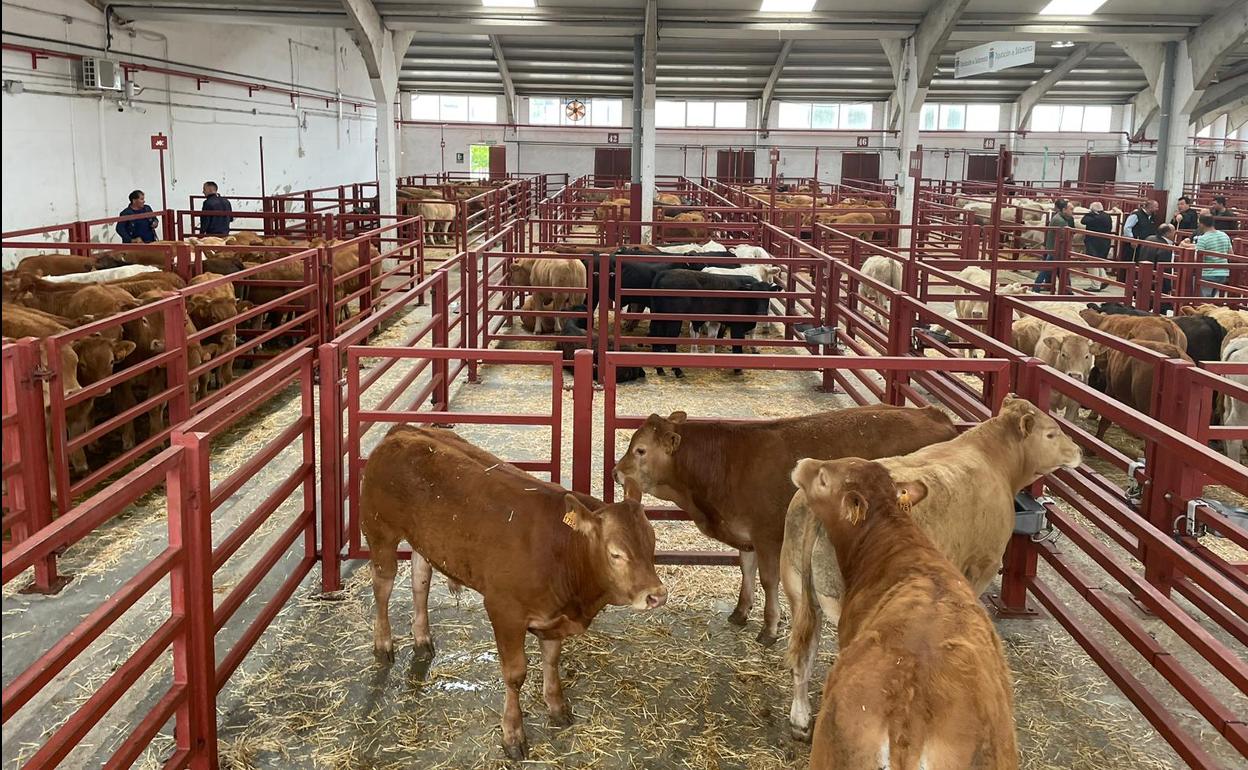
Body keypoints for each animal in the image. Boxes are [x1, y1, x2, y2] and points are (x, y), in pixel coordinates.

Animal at [359, 426, 663, 758]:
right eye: (616, 553)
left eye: (652, 542)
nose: (656, 595)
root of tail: (405, 430)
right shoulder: (504, 610)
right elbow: (515, 675)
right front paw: (513, 735)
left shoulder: (553, 617)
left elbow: (552, 660)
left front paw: (557, 707)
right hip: (380, 532)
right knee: (383, 587)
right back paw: (383, 644)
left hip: (423, 540)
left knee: (420, 580)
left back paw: (423, 638)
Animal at [611, 404, 953, 643]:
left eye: (640, 450)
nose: (615, 472)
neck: (723, 465)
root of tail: (934, 415)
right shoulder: (745, 535)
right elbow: (746, 570)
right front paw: (740, 612)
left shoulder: (767, 537)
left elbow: (768, 580)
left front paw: (769, 628)